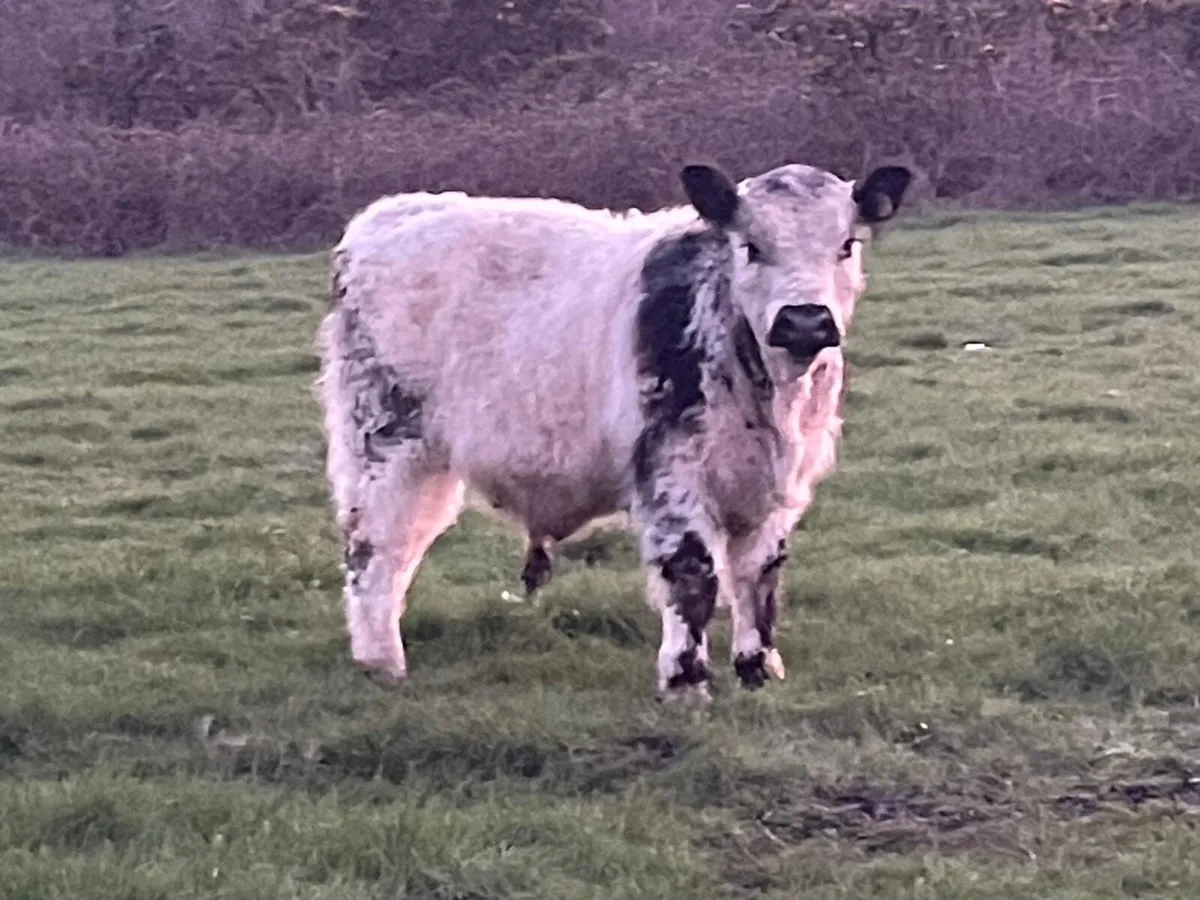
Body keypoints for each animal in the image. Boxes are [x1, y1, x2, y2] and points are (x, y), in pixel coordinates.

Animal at [316, 160, 911, 702]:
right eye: (751, 246)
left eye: (846, 244)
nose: (804, 320)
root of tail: (388, 214)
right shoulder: (671, 472)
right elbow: (692, 573)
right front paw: (686, 682)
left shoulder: (777, 488)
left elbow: (759, 577)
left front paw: (756, 669)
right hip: (386, 443)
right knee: (375, 549)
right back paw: (381, 661)